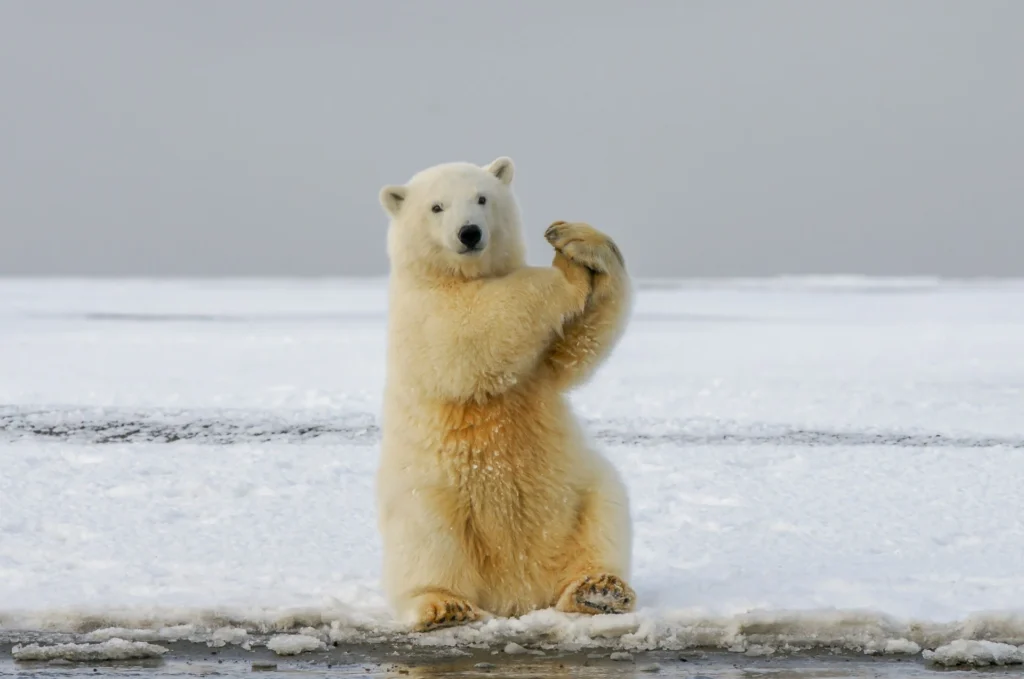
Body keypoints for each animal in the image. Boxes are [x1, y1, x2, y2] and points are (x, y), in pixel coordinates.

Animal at [376, 156, 630, 630]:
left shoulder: (541, 367)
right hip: (429, 495)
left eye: (482, 198)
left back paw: (599, 590)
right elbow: (473, 328)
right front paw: (566, 274)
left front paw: (576, 240)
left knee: (605, 513)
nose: (469, 233)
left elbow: (576, 348)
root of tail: (517, 593)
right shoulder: (422, 310)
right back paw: (445, 605)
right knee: (428, 541)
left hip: (579, 491)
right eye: (436, 207)